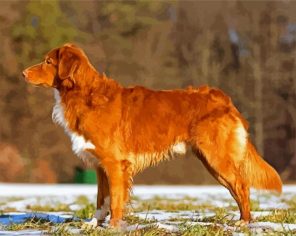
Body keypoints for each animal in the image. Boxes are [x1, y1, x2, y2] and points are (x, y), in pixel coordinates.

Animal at [23, 43, 282, 228]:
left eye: (48, 61)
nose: (23, 73)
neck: (84, 95)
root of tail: (224, 99)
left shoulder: (115, 164)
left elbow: (115, 199)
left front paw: (114, 226)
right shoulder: (100, 166)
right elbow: (101, 199)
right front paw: (94, 224)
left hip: (217, 159)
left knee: (242, 186)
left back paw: (244, 223)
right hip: (213, 162)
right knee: (236, 189)